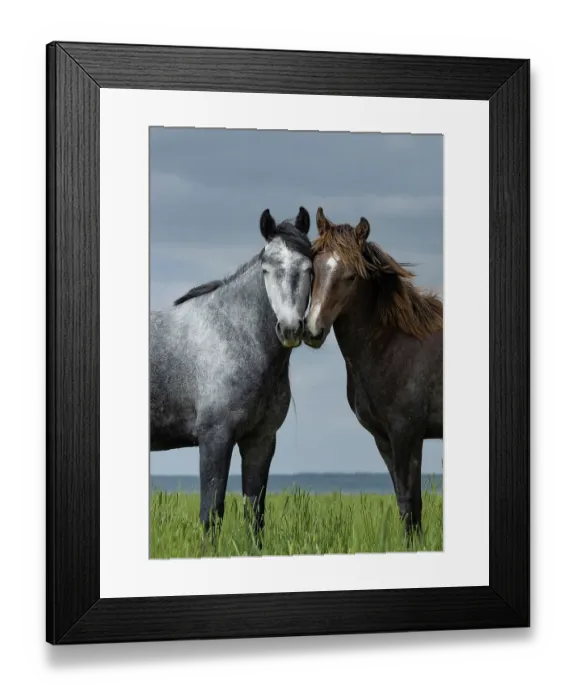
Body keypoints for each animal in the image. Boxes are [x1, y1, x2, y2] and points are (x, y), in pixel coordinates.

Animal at [150, 206, 313, 543]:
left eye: (309, 268)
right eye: (267, 269)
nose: (290, 328)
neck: (233, 335)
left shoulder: (260, 440)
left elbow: (255, 513)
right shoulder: (215, 438)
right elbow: (211, 513)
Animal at [303, 207, 443, 534]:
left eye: (351, 276)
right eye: (313, 269)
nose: (312, 330)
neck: (393, 345)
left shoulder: (406, 434)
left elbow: (411, 504)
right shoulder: (384, 440)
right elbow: (406, 506)